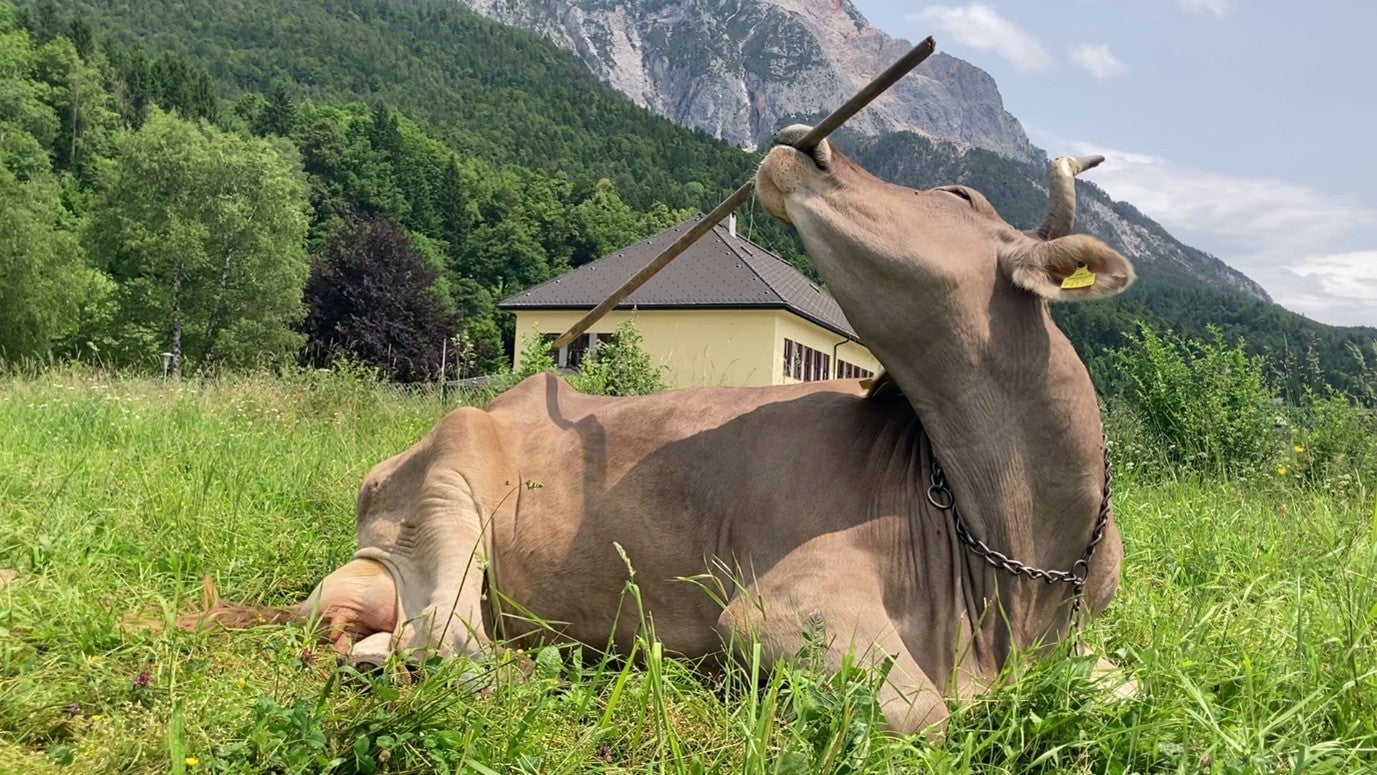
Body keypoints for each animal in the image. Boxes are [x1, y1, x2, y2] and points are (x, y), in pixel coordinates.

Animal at [188, 129, 1135, 737]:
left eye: (956, 194)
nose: (803, 140)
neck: (1014, 557)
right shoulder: (781, 604)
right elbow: (926, 715)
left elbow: (1122, 688)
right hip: (447, 487)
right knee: (451, 643)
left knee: (405, 640)